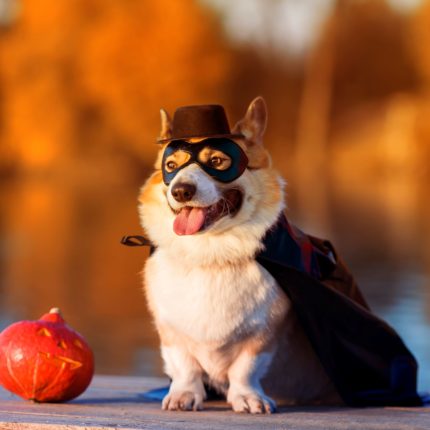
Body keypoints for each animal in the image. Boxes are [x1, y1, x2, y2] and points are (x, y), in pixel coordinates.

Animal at [138, 97, 340, 414]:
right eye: (171, 166)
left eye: (217, 162)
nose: (181, 190)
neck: (209, 253)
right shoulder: (172, 333)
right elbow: (184, 366)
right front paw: (184, 395)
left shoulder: (263, 335)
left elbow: (246, 368)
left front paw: (247, 398)